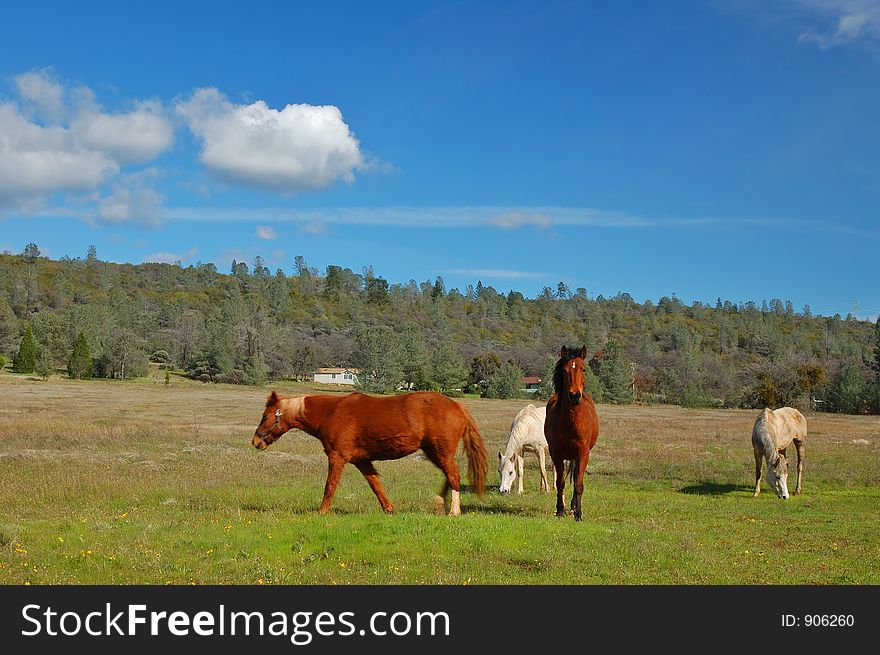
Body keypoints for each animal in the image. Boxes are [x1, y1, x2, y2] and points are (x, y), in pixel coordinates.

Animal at [251, 390, 488, 516]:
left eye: (266, 416)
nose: (255, 441)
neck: (332, 412)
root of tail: (457, 406)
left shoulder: (337, 458)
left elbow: (330, 486)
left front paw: (322, 512)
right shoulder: (363, 462)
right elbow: (376, 486)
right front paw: (389, 509)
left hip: (441, 452)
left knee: (454, 476)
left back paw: (453, 511)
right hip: (434, 453)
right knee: (450, 477)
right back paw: (440, 504)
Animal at [544, 346, 600, 520]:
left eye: (583, 369)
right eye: (565, 370)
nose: (575, 396)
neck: (570, 421)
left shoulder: (583, 453)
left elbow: (578, 483)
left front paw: (578, 513)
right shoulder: (556, 453)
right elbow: (560, 482)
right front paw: (560, 510)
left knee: (576, 478)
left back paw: (574, 507)